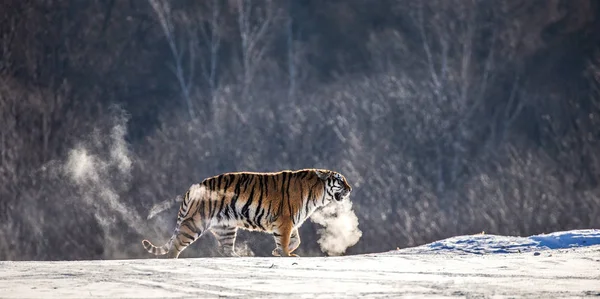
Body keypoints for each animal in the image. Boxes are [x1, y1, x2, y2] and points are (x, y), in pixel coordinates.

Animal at [142, 169, 352, 258]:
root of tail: (194, 187)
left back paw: (238, 257)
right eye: (340, 181)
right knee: (176, 244)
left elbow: (295, 240)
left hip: (226, 228)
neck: (318, 193)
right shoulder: (285, 221)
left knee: (226, 249)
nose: (350, 189)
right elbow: (285, 241)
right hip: (196, 222)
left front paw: (277, 251)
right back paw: (172, 261)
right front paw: (286, 254)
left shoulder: (291, 223)